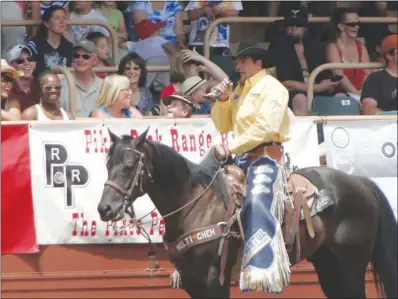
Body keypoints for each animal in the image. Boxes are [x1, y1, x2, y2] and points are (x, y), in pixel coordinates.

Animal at [97, 130, 398, 298]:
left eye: (129, 165)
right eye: (107, 164)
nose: (104, 209)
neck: (194, 204)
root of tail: (360, 182)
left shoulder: (212, 279)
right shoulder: (192, 281)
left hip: (351, 266)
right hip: (329, 266)